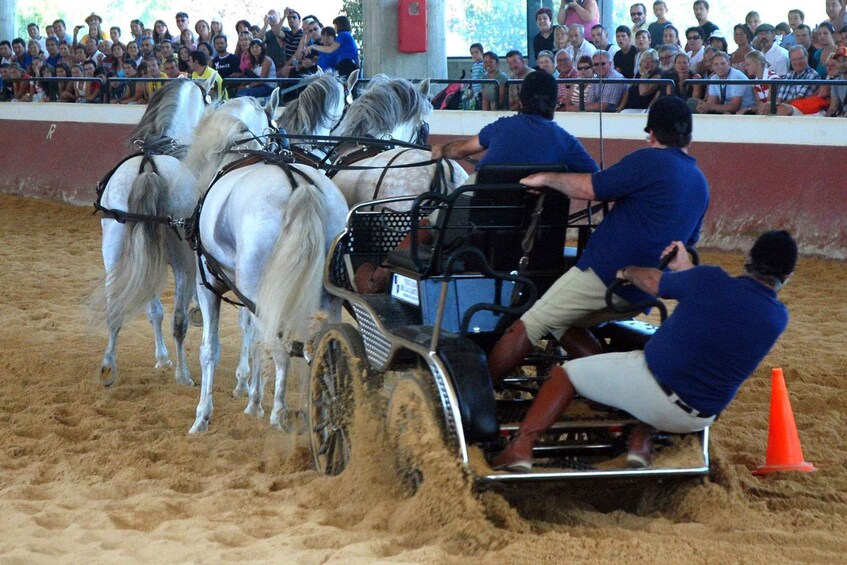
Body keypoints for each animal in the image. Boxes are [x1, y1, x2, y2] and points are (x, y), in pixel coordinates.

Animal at [98, 79, 210, 386]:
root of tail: (148, 167)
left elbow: (153, 311)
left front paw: (160, 357)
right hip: (183, 261)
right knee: (178, 320)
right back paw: (183, 375)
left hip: (114, 249)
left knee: (115, 307)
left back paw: (108, 366)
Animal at [181, 91, 350, 432]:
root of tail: (299, 186)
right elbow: (251, 337)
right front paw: (252, 399)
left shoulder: (209, 286)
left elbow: (210, 349)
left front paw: (203, 414)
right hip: (325, 297)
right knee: (320, 347)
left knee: (280, 347)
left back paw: (279, 412)